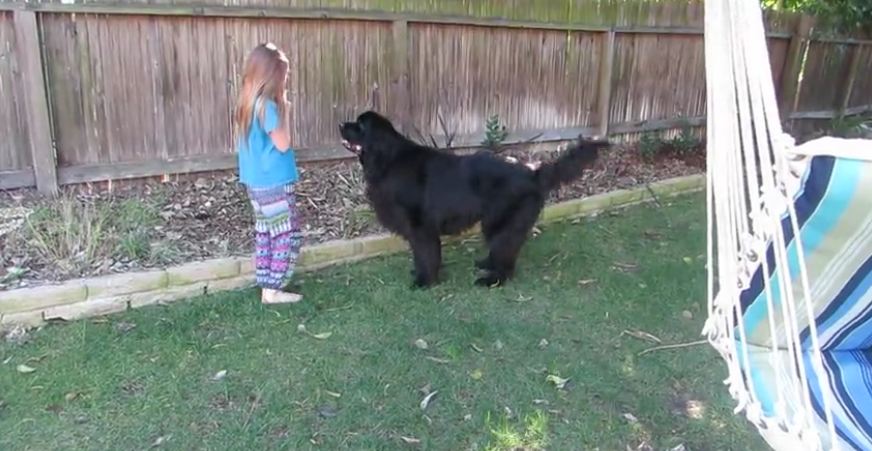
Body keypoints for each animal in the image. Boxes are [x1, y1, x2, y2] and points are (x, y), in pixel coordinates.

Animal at [340, 112, 608, 290]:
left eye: (360, 125)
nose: (341, 123)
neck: (388, 159)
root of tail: (532, 173)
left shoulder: (421, 227)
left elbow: (426, 253)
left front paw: (425, 281)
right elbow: (421, 253)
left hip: (501, 221)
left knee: (506, 255)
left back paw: (492, 280)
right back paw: (486, 264)